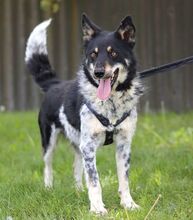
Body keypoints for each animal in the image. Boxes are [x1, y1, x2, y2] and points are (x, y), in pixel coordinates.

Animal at [24, 14, 143, 214]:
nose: (98, 72)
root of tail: (54, 84)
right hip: (50, 140)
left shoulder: (123, 144)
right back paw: (48, 188)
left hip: (78, 144)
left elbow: (124, 179)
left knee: (77, 167)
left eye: (113, 53)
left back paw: (79, 191)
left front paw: (128, 204)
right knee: (47, 165)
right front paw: (97, 208)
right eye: (93, 55)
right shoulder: (89, 145)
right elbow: (95, 181)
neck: (110, 105)